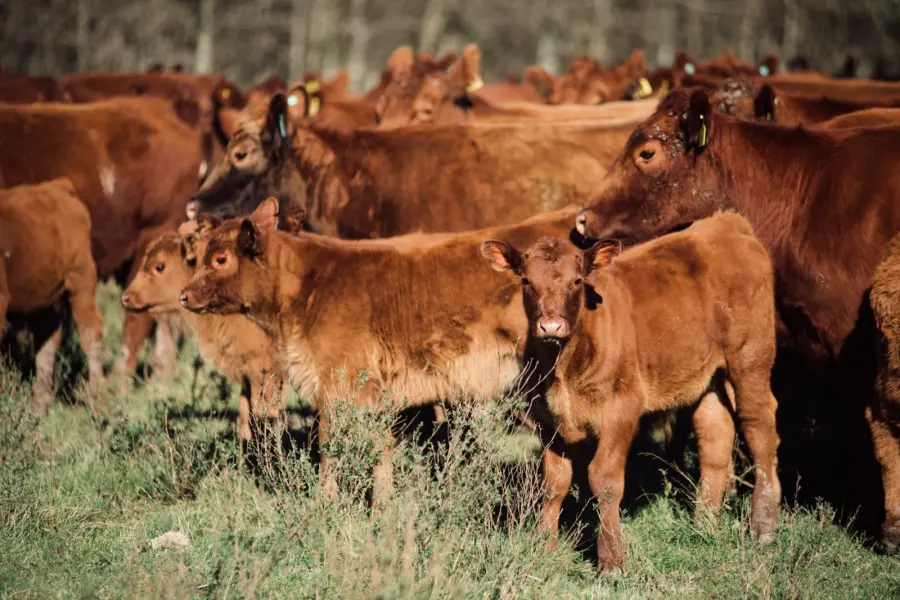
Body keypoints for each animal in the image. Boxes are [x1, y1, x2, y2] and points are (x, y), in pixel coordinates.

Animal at [0, 179, 104, 414]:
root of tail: (58, 187)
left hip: (81, 281)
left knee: (90, 331)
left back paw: (98, 399)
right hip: (45, 298)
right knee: (47, 340)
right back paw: (39, 406)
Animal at [121, 224, 284, 440]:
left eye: (160, 266)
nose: (126, 297)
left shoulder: (262, 367)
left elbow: (265, 412)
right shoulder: (244, 368)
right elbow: (245, 410)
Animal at [178, 198, 581, 501]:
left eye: (220, 259)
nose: (185, 295)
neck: (310, 285)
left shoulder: (339, 386)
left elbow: (328, 446)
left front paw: (328, 503)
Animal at [481, 211, 780, 571]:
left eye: (577, 282)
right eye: (526, 281)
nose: (550, 326)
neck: (563, 367)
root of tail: (727, 223)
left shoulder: (621, 409)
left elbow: (605, 480)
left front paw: (612, 560)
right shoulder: (547, 418)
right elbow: (554, 484)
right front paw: (543, 549)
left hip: (751, 358)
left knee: (758, 427)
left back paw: (763, 525)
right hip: (708, 374)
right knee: (715, 436)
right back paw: (705, 524)